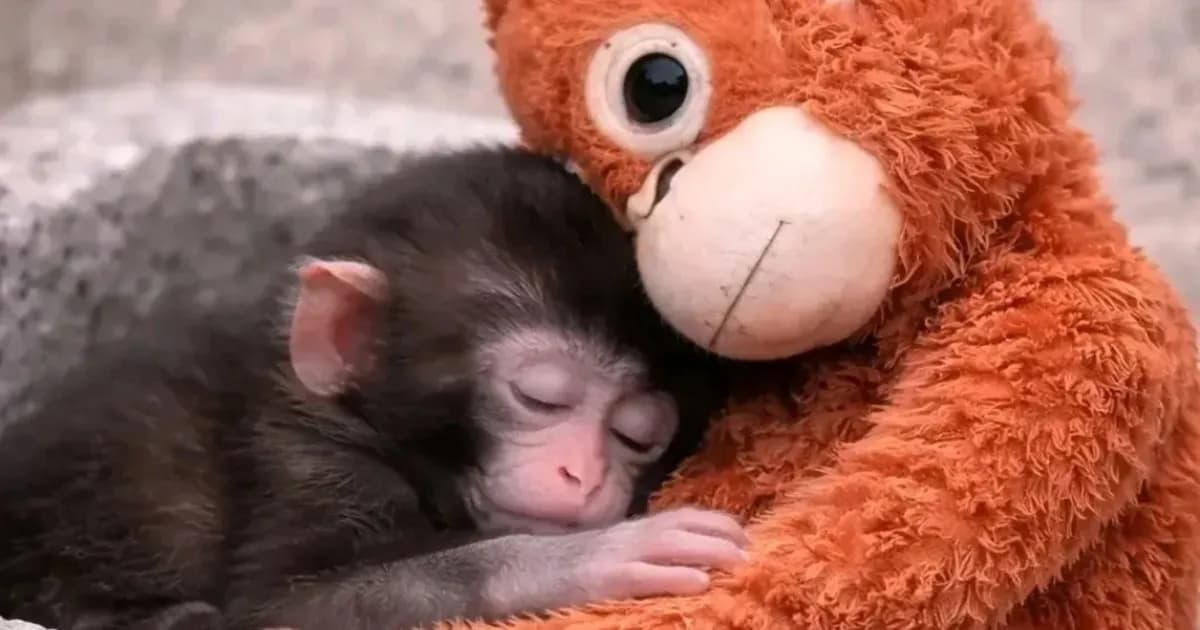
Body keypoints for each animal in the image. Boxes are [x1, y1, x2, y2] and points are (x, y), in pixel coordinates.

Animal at [0, 146, 744, 630]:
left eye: (636, 436)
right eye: (541, 398)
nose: (582, 476)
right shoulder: (304, 461)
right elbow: (287, 611)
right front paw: (593, 557)